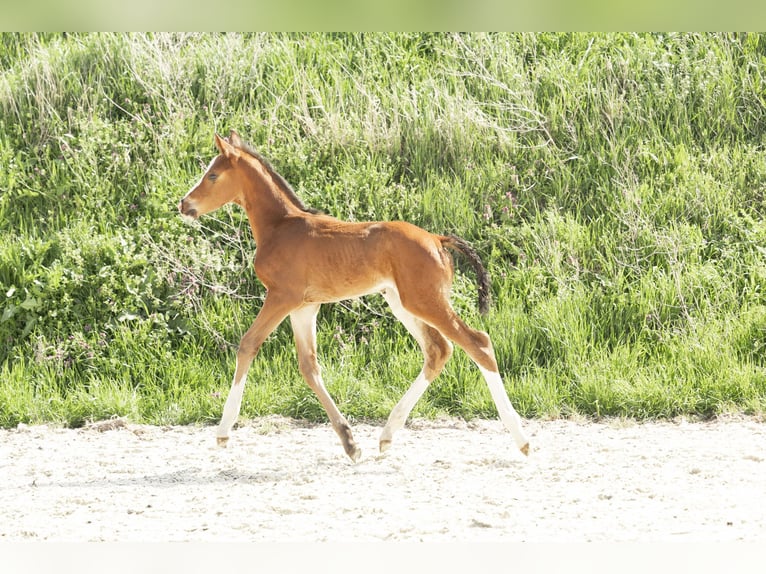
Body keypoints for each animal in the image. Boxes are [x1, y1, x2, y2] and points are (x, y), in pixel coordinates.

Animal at [178, 130, 529, 462]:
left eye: (212, 175)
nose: (184, 204)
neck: (280, 227)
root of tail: (437, 239)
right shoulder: (305, 306)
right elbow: (309, 366)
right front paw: (350, 444)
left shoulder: (281, 297)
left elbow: (248, 344)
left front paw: (223, 432)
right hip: (401, 302)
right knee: (437, 350)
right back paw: (386, 436)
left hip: (424, 301)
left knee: (478, 343)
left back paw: (522, 439)